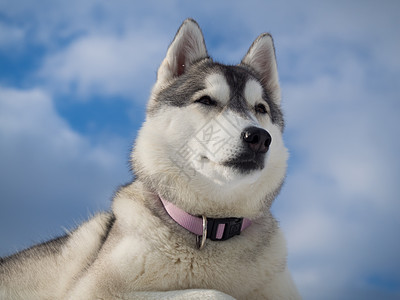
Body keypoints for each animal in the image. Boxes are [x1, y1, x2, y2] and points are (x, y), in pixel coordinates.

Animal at [0, 19, 300, 300]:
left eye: (260, 109)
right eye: (206, 100)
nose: (258, 138)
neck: (211, 226)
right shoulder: (91, 289)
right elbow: (214, 292)